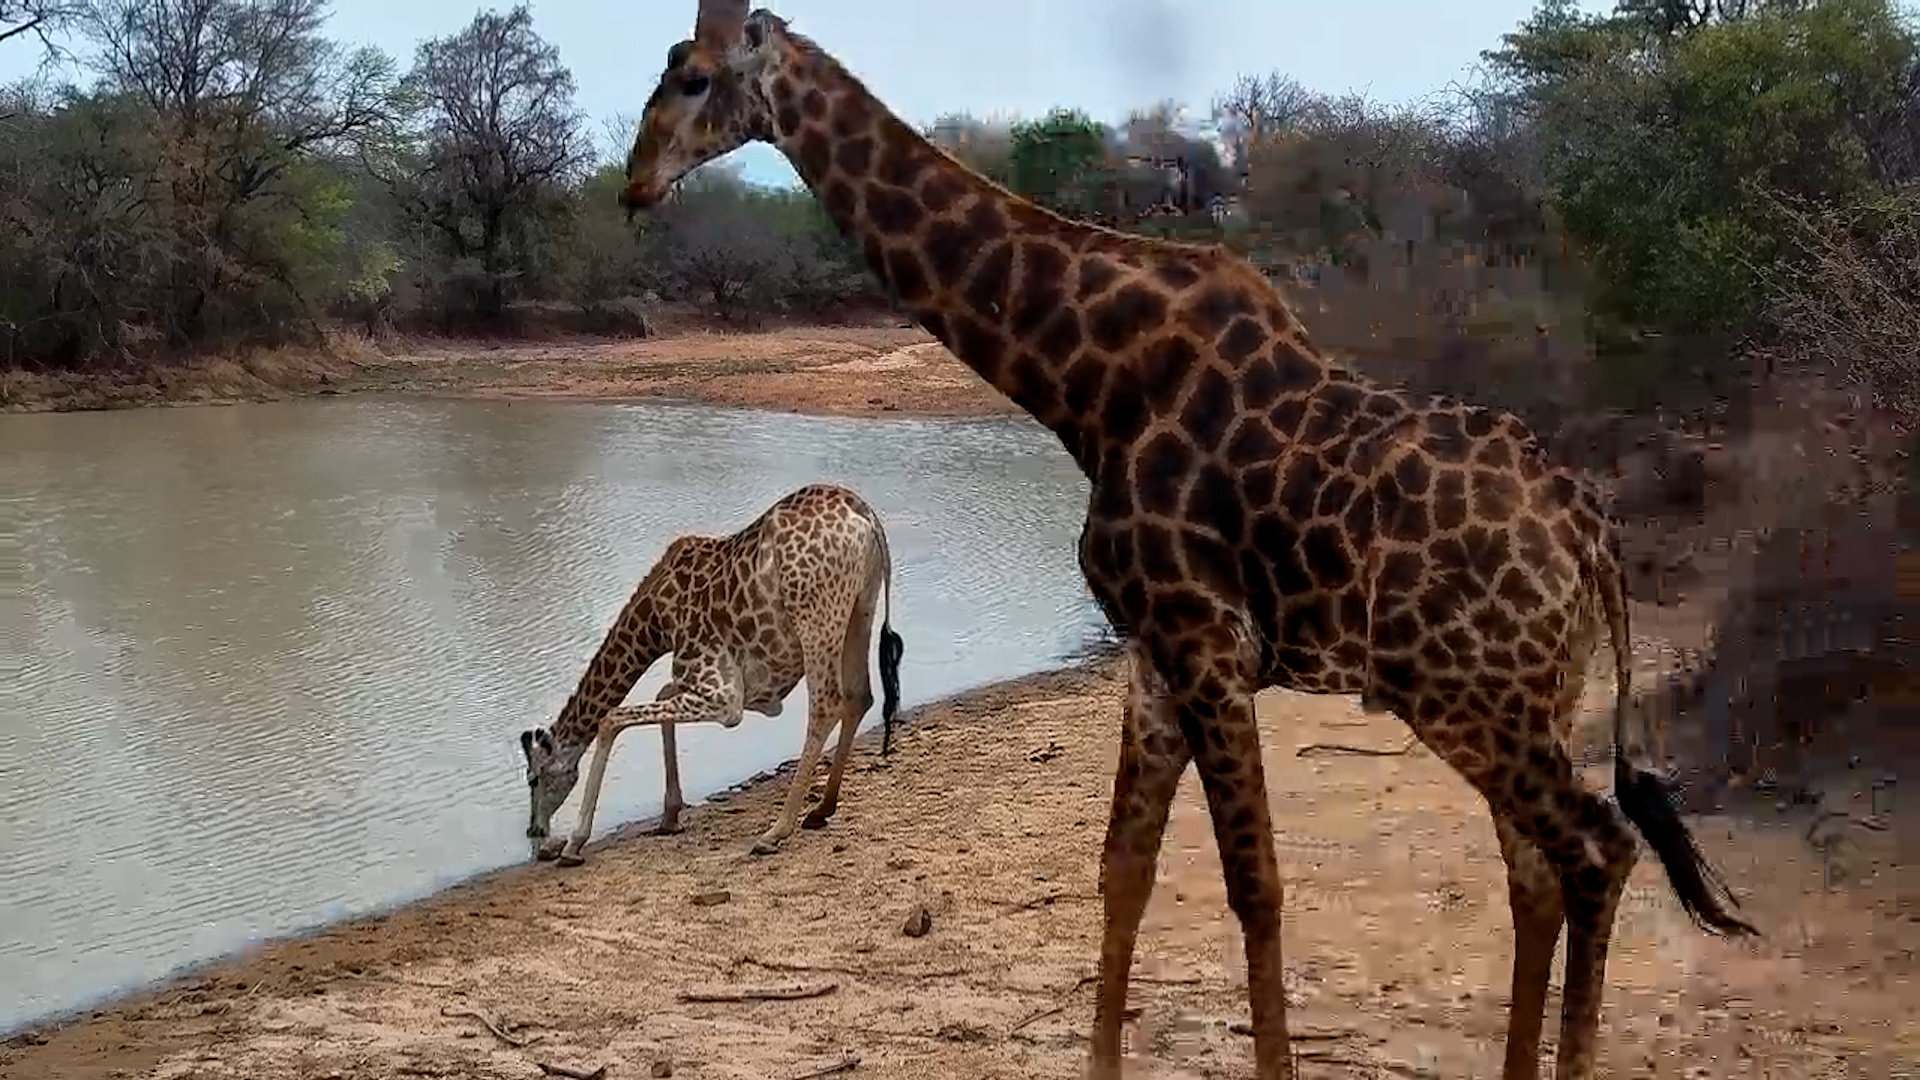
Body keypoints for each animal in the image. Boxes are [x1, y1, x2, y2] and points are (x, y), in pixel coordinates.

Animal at [519, 483, 905, 865]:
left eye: (534, 778)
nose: (536, 838)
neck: (655, 622)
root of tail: (864, 514)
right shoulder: (723, 684)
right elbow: (660, 696)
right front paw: (669, 816)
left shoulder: (724, 697)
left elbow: (610, 718)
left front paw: (574, 843)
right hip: (861, 605)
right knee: (860, 696)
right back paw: (821, 809)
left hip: (815, 614)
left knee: (826, 705)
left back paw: (775, 831)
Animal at [618, 5, 1758, 1077]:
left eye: (695, 77)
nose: (634, 184)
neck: (1085, 383)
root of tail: (1588, 526)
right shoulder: (1153, 658)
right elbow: (1123, 869)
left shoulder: (1208, 646)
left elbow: (1255, 886)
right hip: (1532, 696)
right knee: (1534, 873)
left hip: (1472, 695)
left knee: (1597, 851)